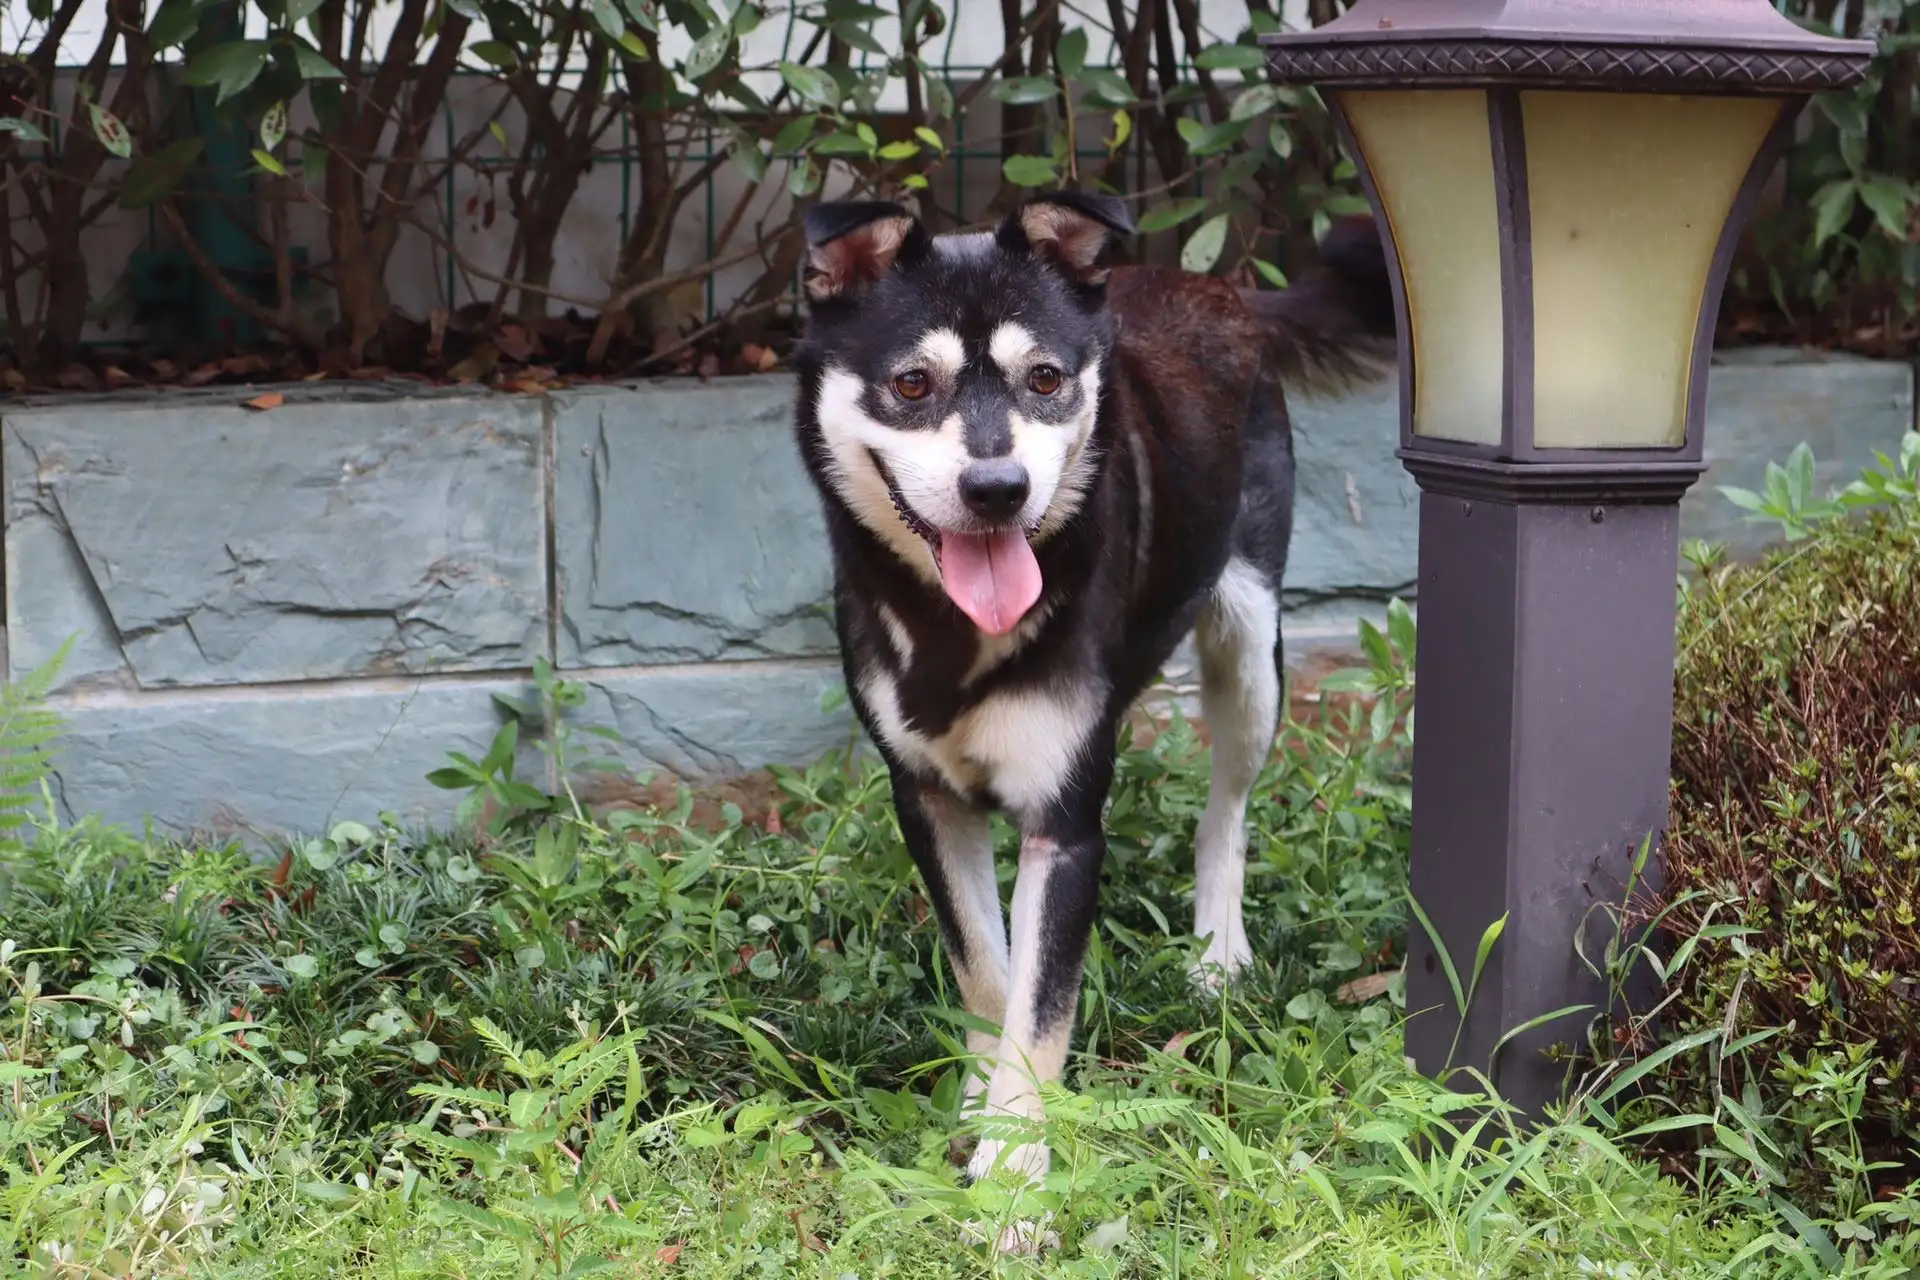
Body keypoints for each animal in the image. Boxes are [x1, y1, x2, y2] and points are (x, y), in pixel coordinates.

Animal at [787, 188, 1390, 1205]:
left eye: (1043, 378)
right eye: (911, 385)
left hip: (1250, 649)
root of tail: (1213, 286)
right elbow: (991, 977)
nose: (998, 489)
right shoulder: (928, 800)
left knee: (1226, 811)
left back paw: (1217, 951)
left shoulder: (1065, 828)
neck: (954, 628)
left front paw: (1014, 1185)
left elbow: (1039, 1011)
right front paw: (981, 1115)